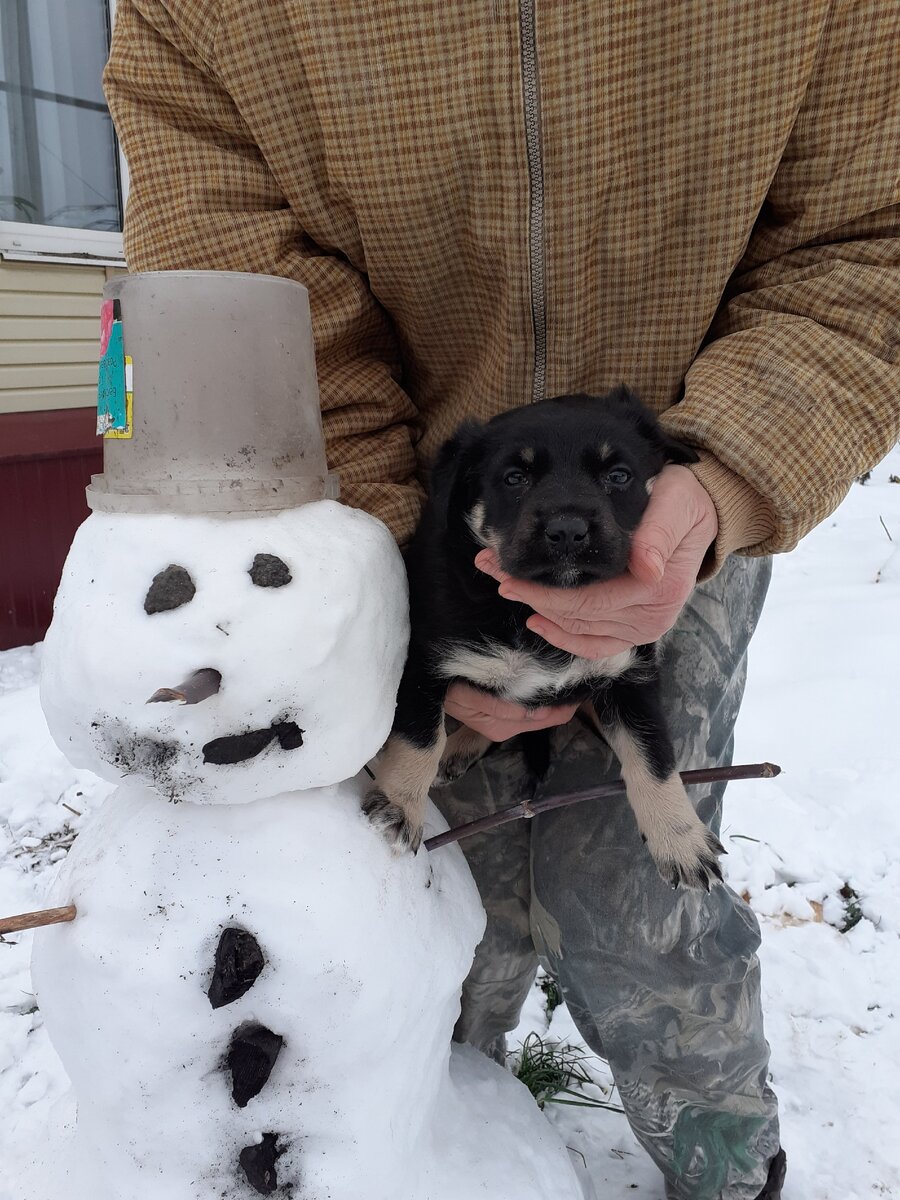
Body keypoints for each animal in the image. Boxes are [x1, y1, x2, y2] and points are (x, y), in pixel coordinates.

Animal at [364, 388, 724, 888]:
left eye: (618, 475)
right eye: (515, 477)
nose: (568, 530)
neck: (532, 611)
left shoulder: (630, 673)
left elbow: (654, 755)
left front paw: (682, 839)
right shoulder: (424, 660)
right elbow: (419, 736)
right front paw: (399, 807)